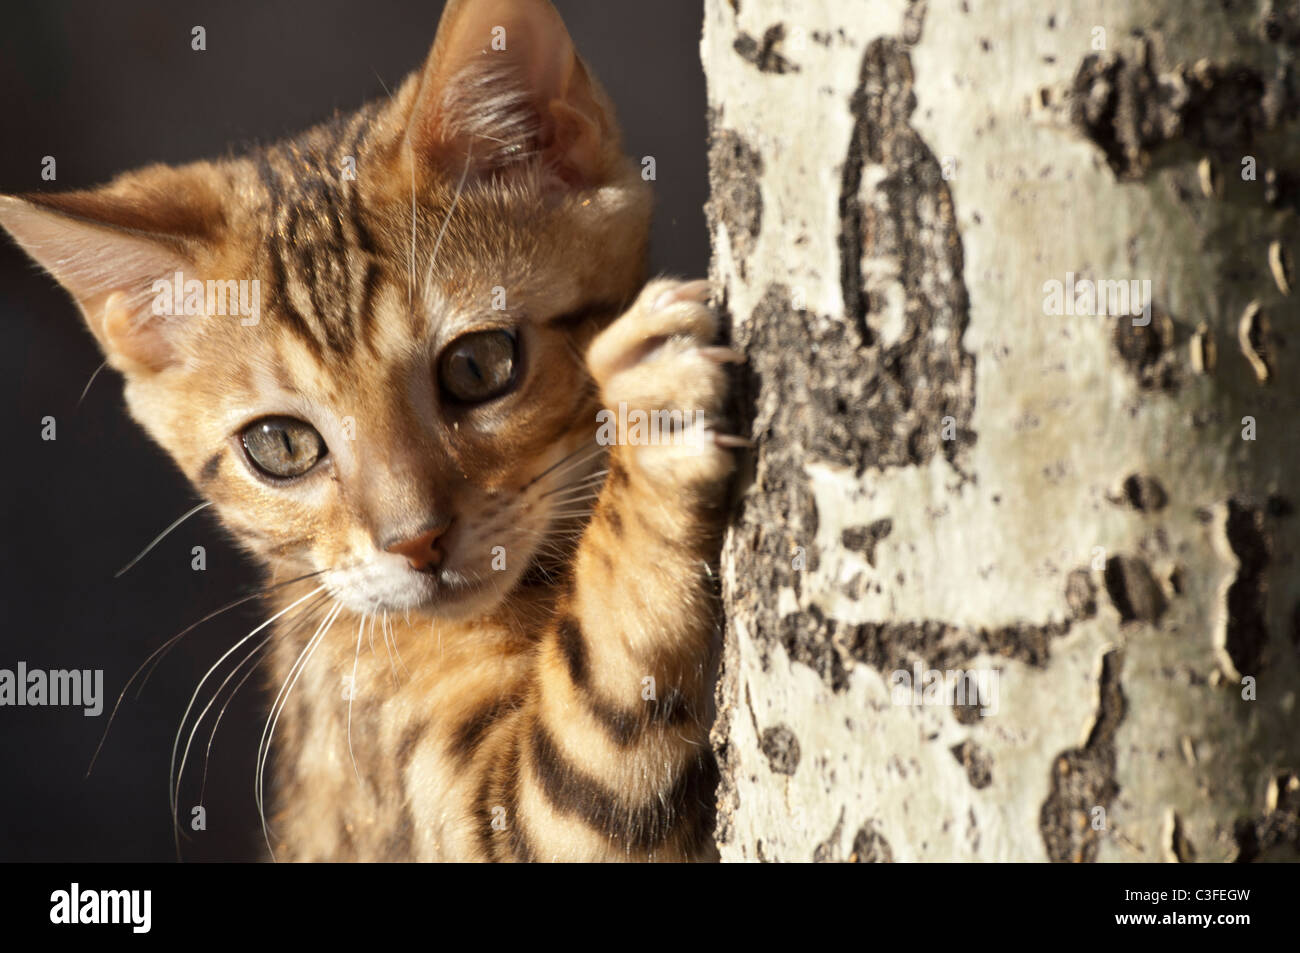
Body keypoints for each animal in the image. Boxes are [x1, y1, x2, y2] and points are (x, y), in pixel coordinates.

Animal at [0, 0, 743, 858]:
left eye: (479, 365)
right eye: (280, 445)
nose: (416, 541)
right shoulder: (480, 808)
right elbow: (596, 720)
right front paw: (654, 419)